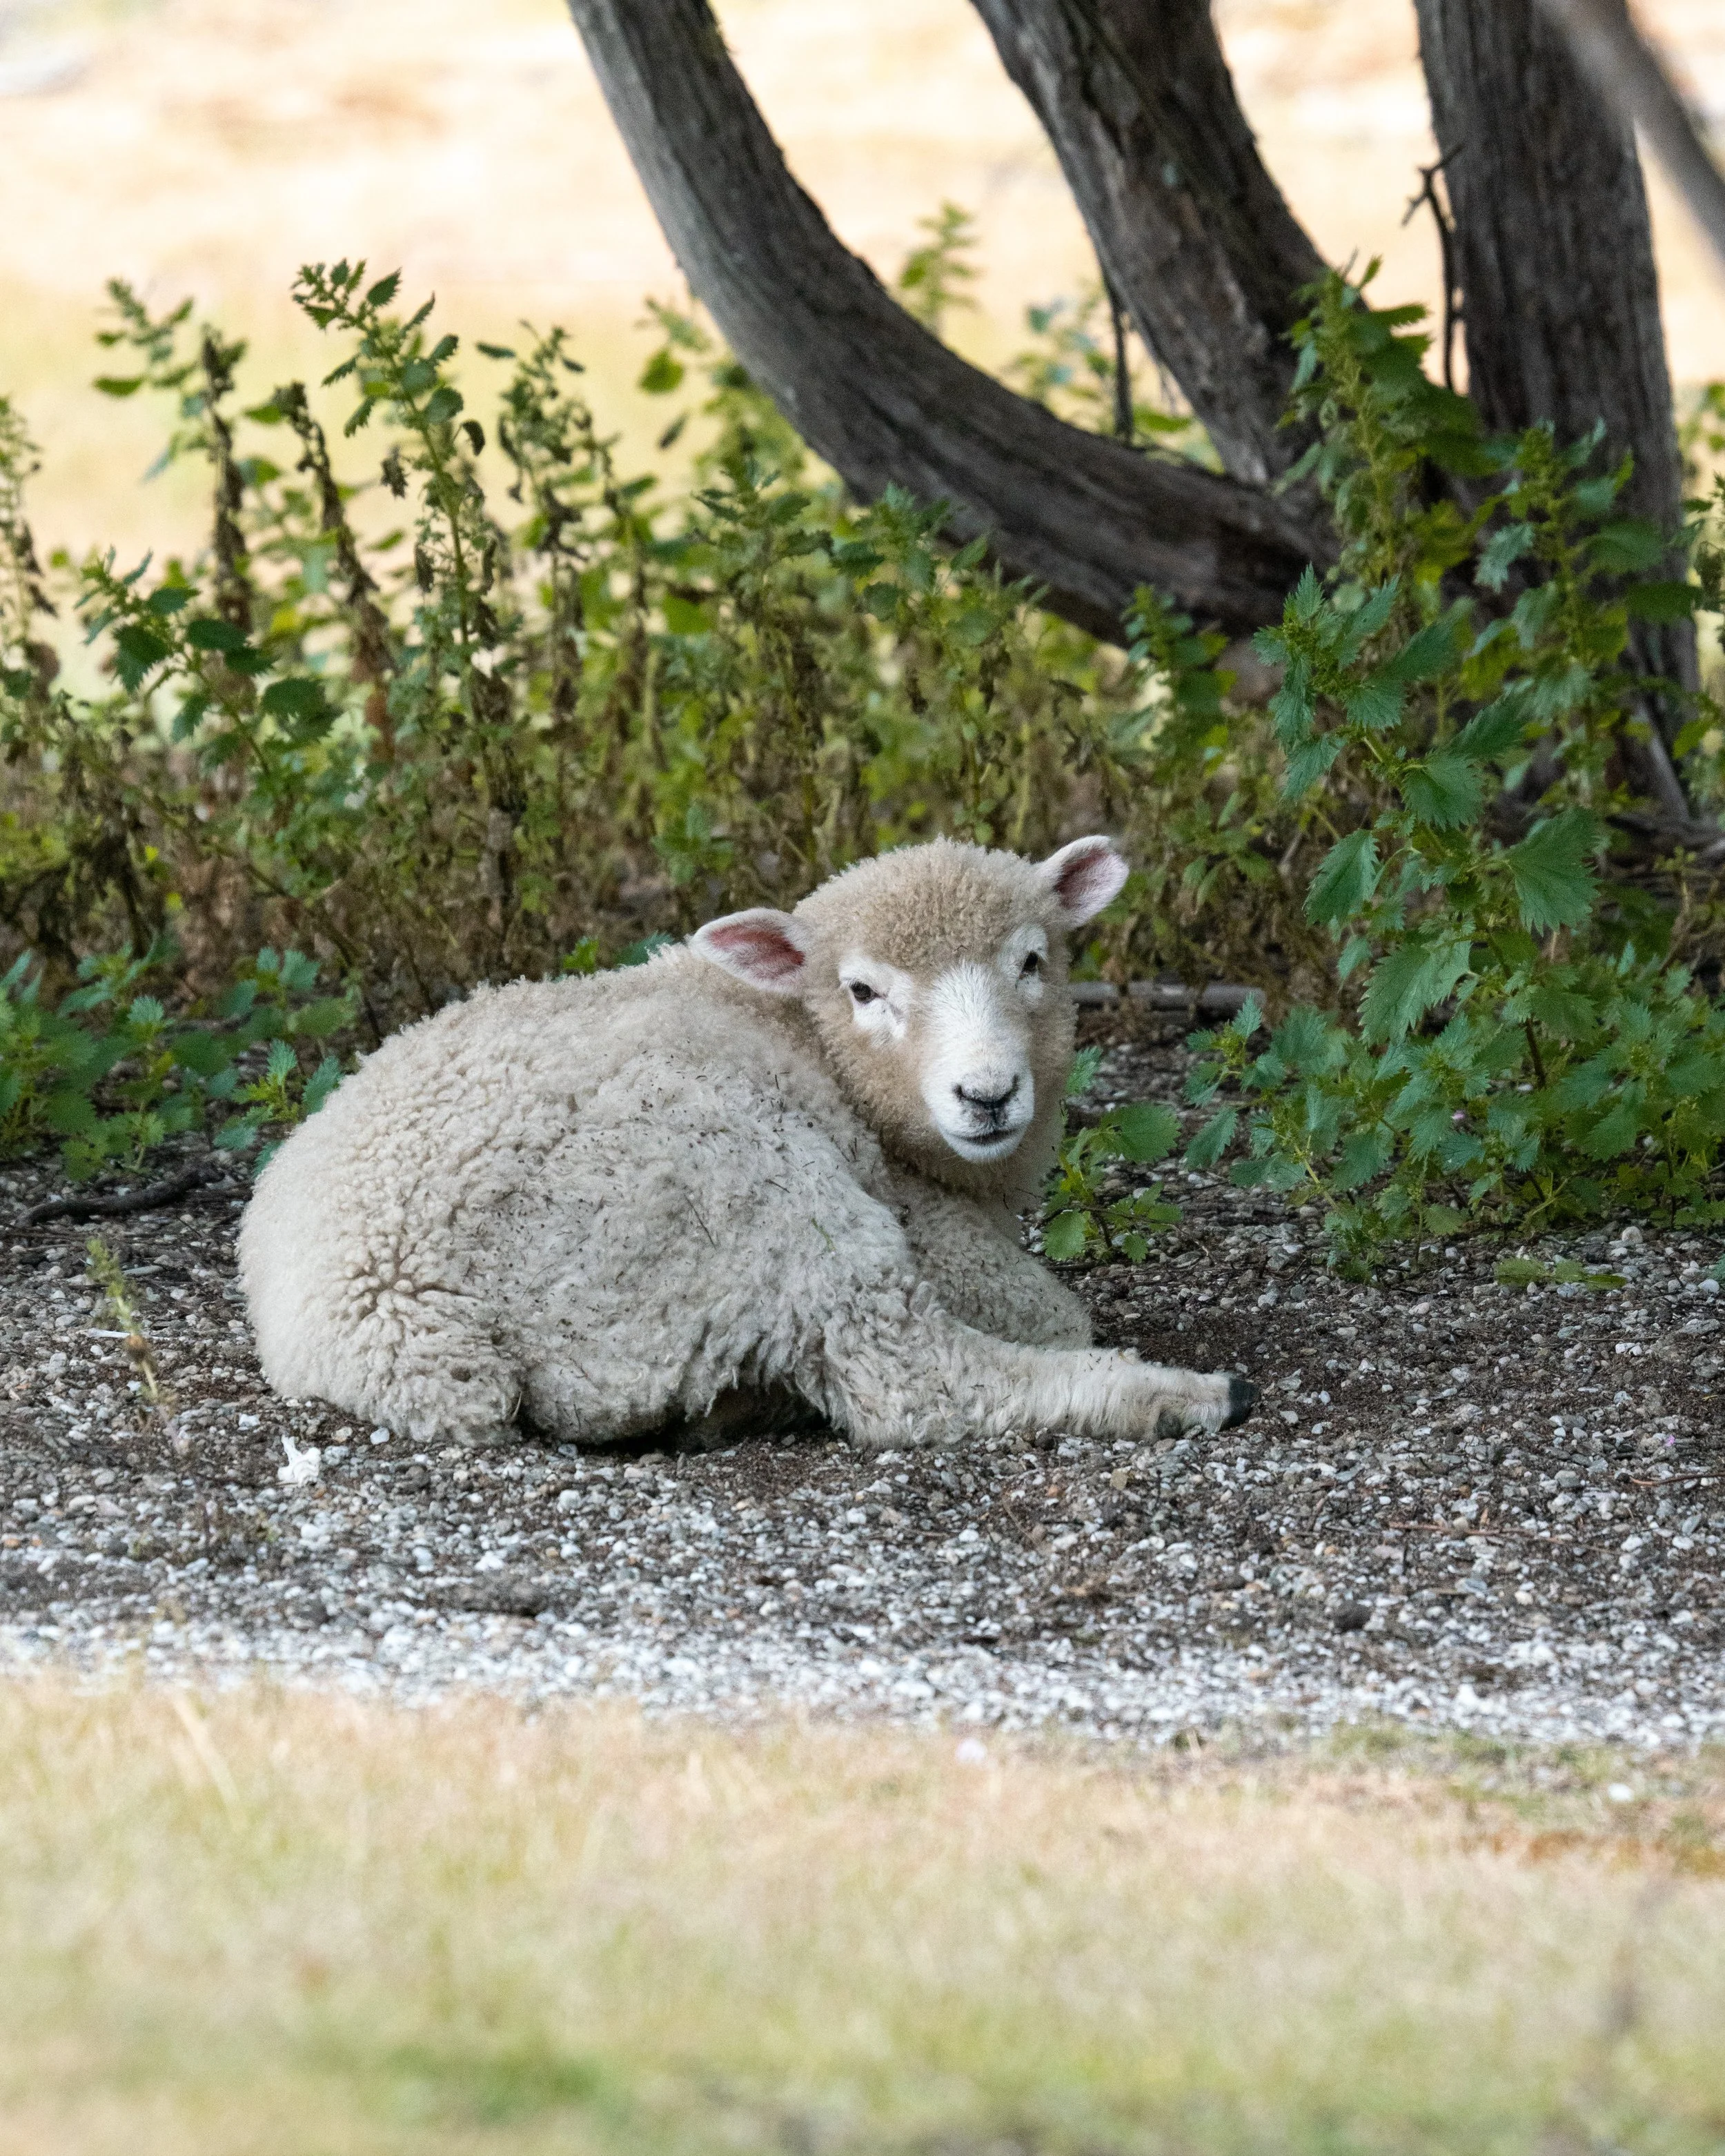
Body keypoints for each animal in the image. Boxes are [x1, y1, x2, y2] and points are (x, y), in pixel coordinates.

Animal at [240, 835, 1257, 1451]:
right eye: (862, 991)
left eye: (1033, 961)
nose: (988, 1094)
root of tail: (389, 1321)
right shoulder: (923, 1224)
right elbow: (1051, 1312)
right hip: (741, 1192)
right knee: (911, 1380)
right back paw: (1185, 1395)